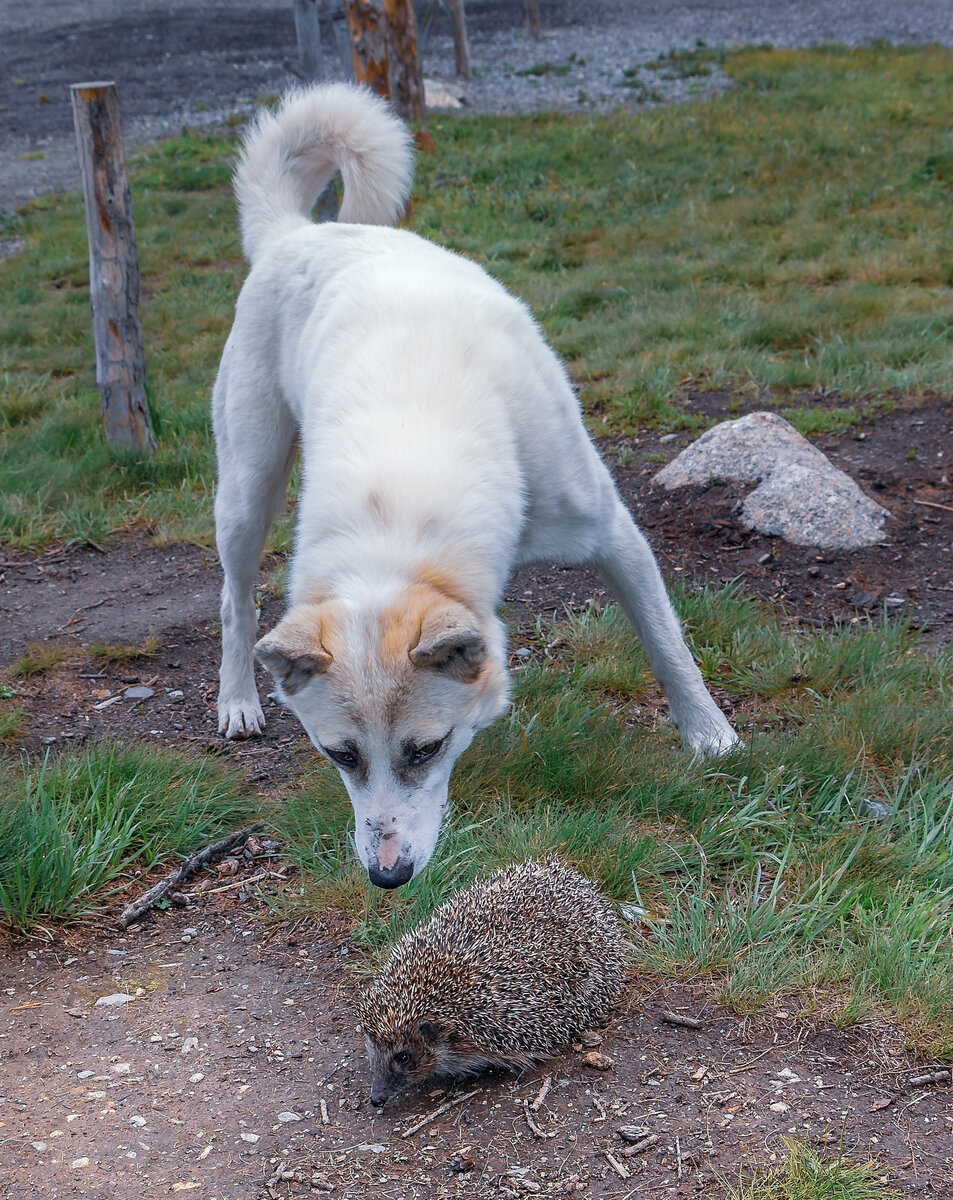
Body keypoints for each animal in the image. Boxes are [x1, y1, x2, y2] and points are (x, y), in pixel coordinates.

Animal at [213, 84, 734, 888]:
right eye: (339, 755)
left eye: (426, 748)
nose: (387, 877)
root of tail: (297, 234)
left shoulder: (614, 533)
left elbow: (667, 644)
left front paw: (710, 736)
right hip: (247, 488)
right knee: (235, 603)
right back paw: (237, 700)